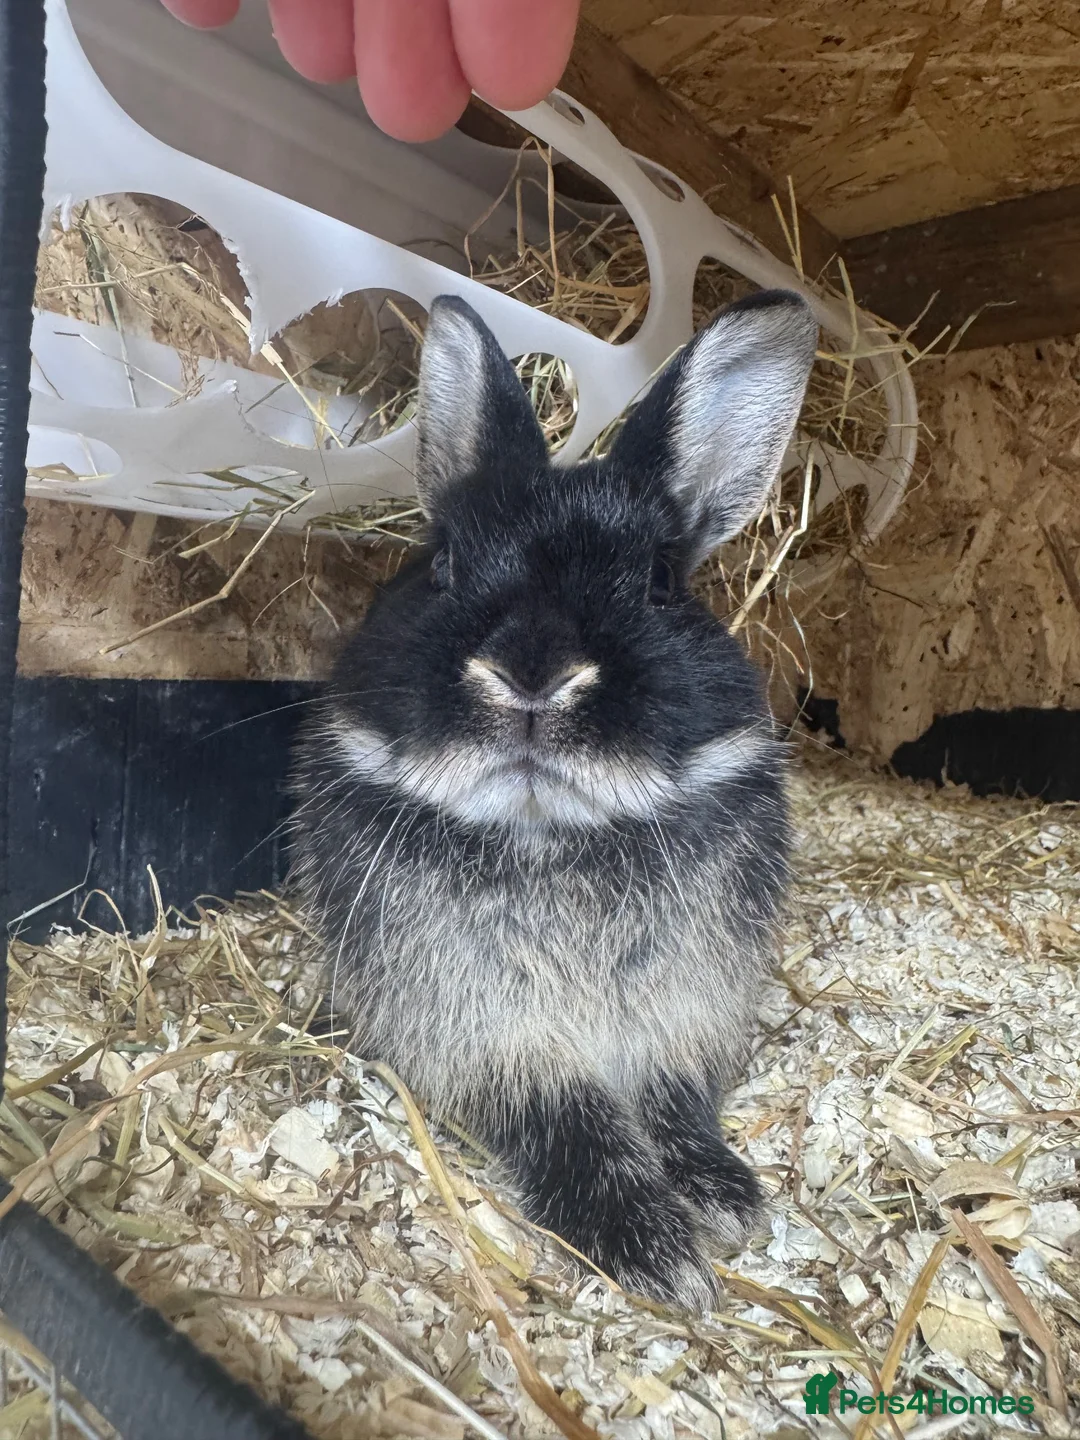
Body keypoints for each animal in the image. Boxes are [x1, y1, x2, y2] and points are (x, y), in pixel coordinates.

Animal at [290, 288, 818, 1310]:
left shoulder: (681, 1019)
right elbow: (571, 1119)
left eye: (660, 581)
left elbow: (672, 1103)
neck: (547, 838)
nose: (532, 674)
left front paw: (724, 1195)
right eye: (445, 563)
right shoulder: (492, 1040)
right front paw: (654, 1250)